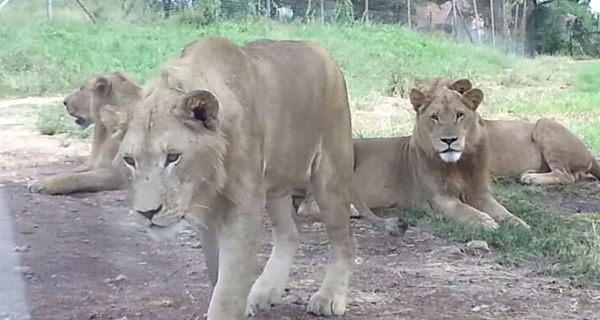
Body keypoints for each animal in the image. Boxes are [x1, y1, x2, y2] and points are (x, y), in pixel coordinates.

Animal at [104, 36, 356, 318]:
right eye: (129, 160)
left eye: (173, 157)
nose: (147, 213)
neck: (207, 182)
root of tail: (320, 49)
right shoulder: (210, 217)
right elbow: (218, 276)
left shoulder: (244, 208)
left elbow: (228, 287)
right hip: (274, 184)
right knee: (289, 232)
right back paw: (265, 291)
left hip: (330, 174)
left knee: (344, 240)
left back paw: (329, 297)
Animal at [298, 79, 528, 231]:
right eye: (434, 117)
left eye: (459, 115)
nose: (449, 140)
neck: (458, 166)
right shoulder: (438, 197)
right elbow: (463, 209)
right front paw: (484, 221)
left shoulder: (480, 193)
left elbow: (501, 210)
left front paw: (518, 223)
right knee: (306, 205)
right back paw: (352, 208)